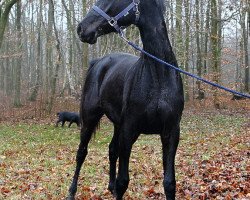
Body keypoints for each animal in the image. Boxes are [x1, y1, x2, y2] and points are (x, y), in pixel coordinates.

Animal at [68, 0, 184, 200]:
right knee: (81, 153)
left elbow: (169, 183)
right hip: (90, 118)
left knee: (111, 150)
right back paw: (71, 191)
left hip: (117, 124)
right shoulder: (129, 131)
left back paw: (110, 187)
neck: (159, 78)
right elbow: (123, 181)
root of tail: (98, 62)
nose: (82, 28)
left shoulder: (171, 133)